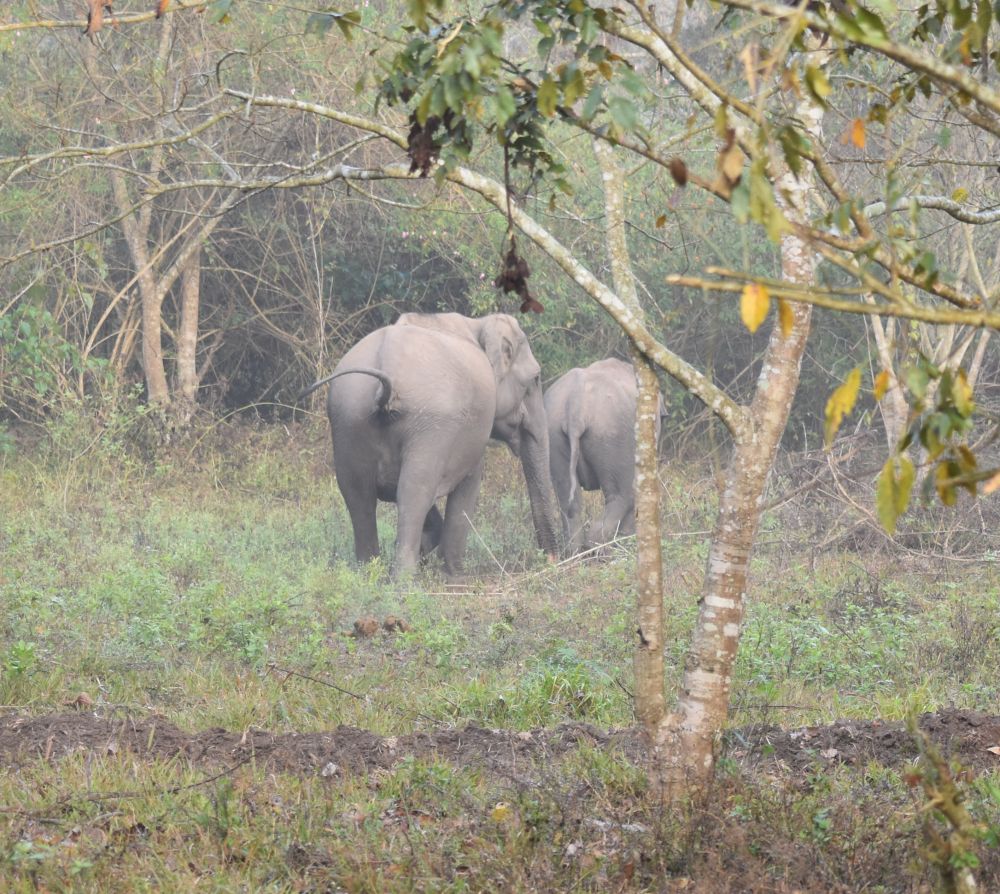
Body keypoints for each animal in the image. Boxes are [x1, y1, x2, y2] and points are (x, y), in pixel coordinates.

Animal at [296, 316, 564, 580]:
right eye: (536, 379)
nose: (551, 561)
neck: (479, 324)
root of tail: (387, 359)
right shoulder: (470, 431)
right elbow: (468, 484)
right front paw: (456, 577)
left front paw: (427, 549)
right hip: (429, 426)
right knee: (414, 491)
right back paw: (404, 580)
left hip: (349, 417)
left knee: (357, 494)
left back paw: (367, 575)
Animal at [544, 360, 660, 556]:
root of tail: (576, 404)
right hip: (611, 435)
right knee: (623, 495)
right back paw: (600, 550)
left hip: (554, 432)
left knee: (568, 499)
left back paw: (576, 553)